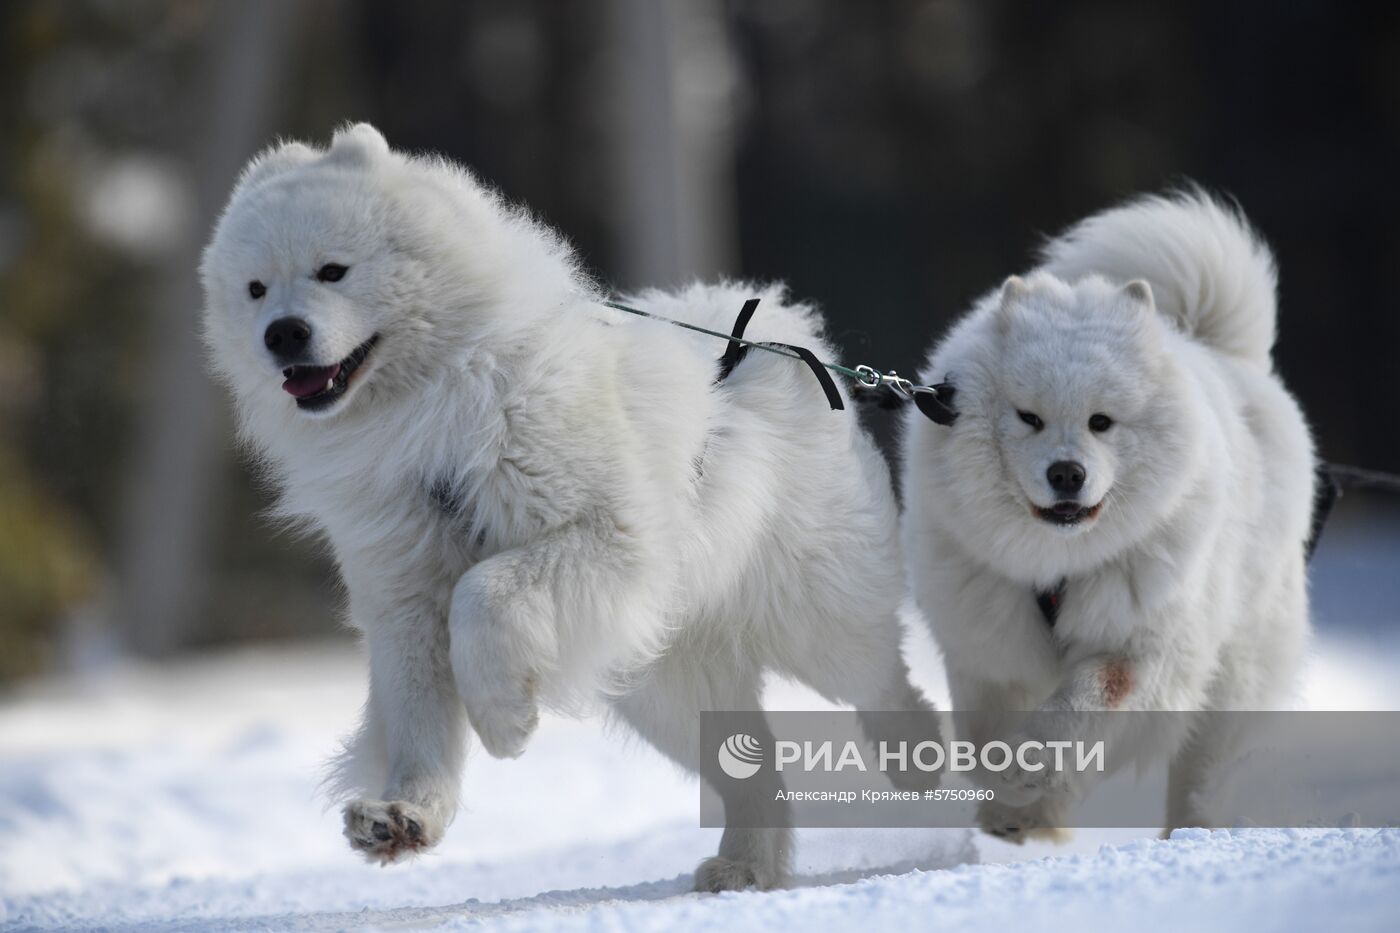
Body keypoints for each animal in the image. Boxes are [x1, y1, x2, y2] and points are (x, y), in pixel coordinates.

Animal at [200, 123, 929, 885]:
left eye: (332, 271)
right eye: (255, 289)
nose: (281, 333)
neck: (425, 418)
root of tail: (762, 351)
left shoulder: (604, 535)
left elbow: (483, 594)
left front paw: (505, 722)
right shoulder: (403, 593)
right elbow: (419, 718)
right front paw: (404, 815)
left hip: (813, 615)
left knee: (881, 673)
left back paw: (916, 756)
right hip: (659, 684)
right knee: (752, 771)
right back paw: (744, 867)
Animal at [901, 190, 1316, 834]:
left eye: (1102, 422)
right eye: (1029, 418)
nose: (1067, 474)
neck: (1059, 565)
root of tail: (1219, 349)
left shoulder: (1138, 646)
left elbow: (1081, 704)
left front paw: (1028, 770)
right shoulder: (986, 643)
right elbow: (981, 735)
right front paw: (1011, 799)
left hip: (1234, 670)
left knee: (1201, 768)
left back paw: (1189, 831)